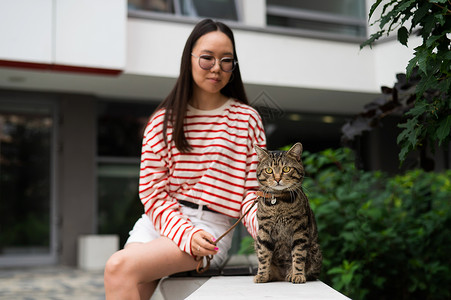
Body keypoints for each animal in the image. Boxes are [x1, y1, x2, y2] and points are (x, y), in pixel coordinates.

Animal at [254, 143, 322, 284]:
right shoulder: (263, 231)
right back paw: (270, 274)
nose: (277, 179)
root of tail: (281, 276)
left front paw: (297, 274)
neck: (278, 202)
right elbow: (263, 255)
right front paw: (262, 275)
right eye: (269, 170)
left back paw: (291, 273)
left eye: (286, 169)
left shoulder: (300, 230)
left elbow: (298, 255)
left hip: (315, 250)